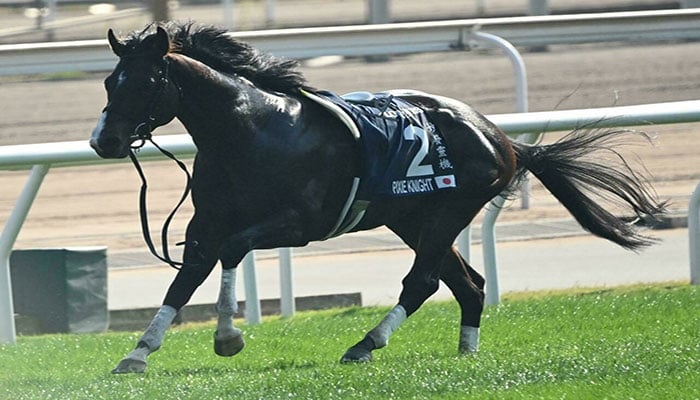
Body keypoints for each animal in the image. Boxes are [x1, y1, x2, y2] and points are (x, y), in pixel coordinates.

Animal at [90, 22, 665, 374]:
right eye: (110, 80)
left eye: (146, 80)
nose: (104, 141)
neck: (250, 130)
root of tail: (502, 138)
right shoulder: (205, 223)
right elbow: (188, 274)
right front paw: (139, 352)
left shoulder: (300, 223)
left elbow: (231, 251)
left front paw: (228, 335)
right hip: (414, 218)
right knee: (468, 284)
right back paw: (466, 353)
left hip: (448, 212)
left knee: (425, 281)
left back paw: (366, 344)